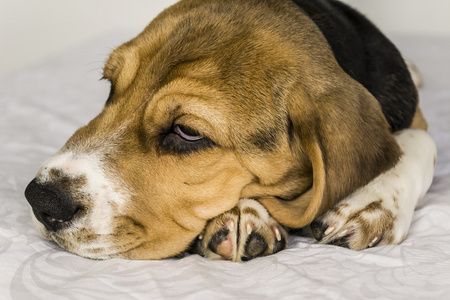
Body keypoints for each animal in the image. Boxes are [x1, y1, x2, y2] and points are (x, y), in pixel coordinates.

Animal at [22, 0, 434, 262]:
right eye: (111, 87)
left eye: (188, 133)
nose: (41, 200)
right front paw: (243, 213)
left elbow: (419, 142)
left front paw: (372, 204)